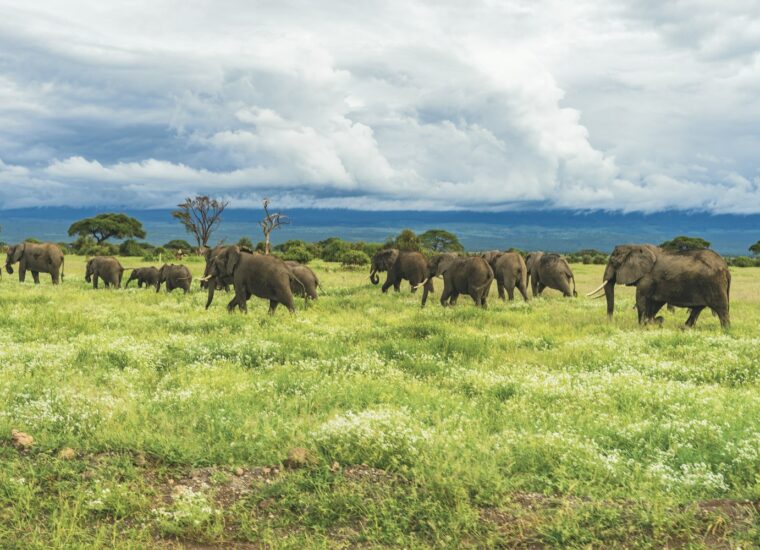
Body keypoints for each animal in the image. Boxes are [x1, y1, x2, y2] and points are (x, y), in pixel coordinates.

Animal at [587, 244, 730, 328]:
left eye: (613, 262)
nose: (610, 323)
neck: (634, 246)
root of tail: (726, 267)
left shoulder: (648, 278)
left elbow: (642, 300)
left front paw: (642, 327)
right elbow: (655, 302)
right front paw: (654, 322)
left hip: (713, 283)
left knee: (721, 309)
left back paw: (725, 330)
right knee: (698, 308)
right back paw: (685, 328)